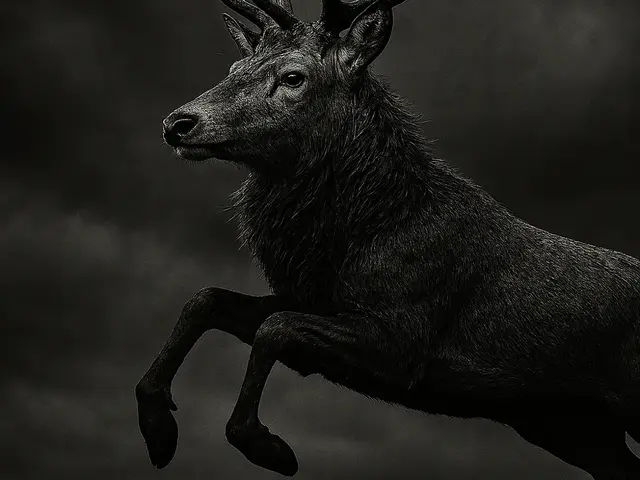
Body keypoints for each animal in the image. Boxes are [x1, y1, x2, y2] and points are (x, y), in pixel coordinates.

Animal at [135, 0, 640, 478]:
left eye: (293, 76)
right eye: (234, 68)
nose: (178, 123)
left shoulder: (403, 337)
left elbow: (274, 328)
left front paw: (266, 445)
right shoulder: (313, 301)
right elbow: (207, 300)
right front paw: (158, 425)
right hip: (572, 428)